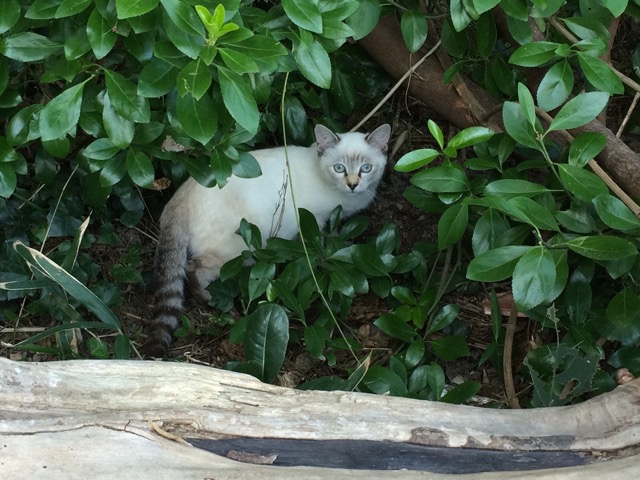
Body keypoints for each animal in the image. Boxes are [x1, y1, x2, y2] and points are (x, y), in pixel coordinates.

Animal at [146, 124, 392, 356]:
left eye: (366, 168)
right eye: (339, 168)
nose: (353, 185)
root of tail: (178, 198)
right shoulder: (315, 220)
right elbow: (320, 245)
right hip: (239, 250)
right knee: (193, 268)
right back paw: (212, 300)